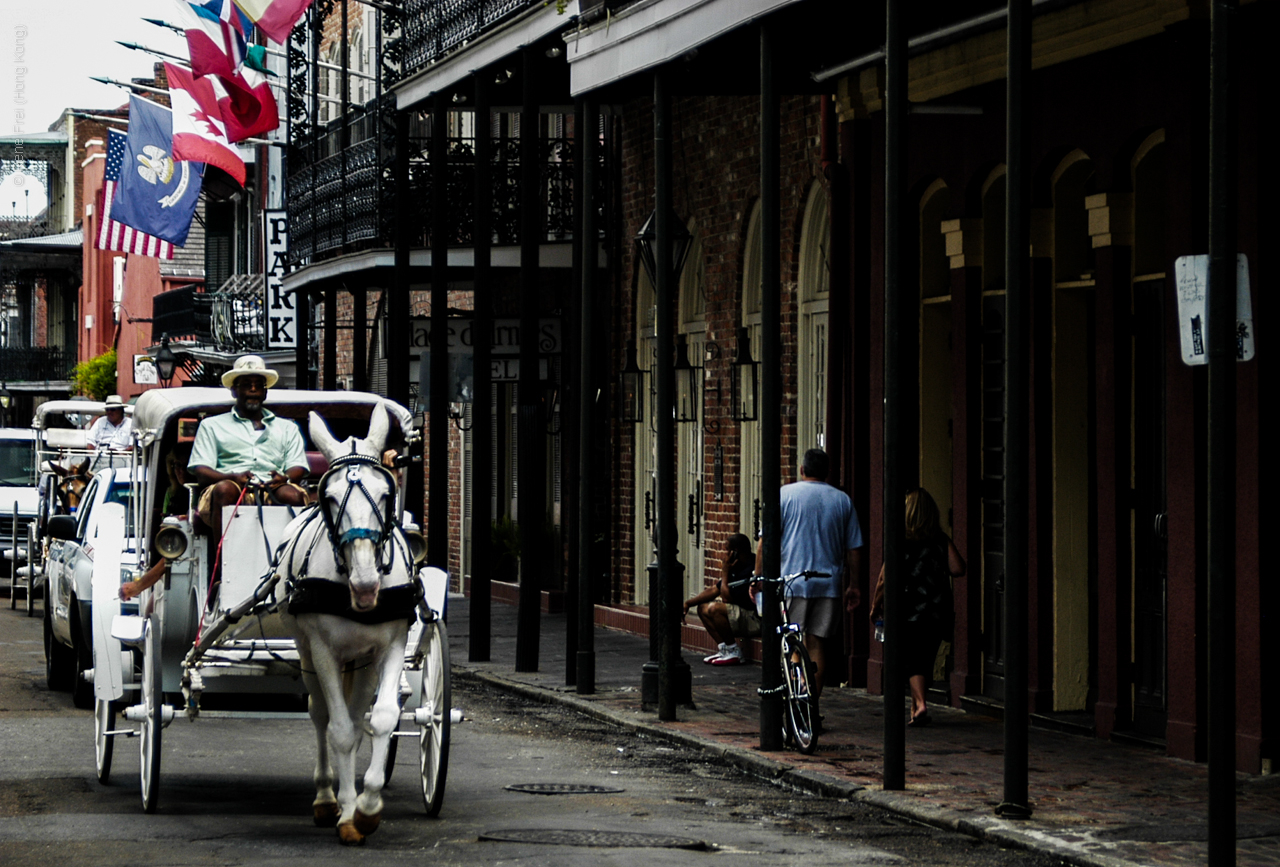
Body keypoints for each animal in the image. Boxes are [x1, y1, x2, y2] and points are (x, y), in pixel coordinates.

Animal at [280, 407, 419, 845]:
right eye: (330, 497)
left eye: (386, 494)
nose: (365, 584)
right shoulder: (324, 650)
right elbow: (338, 729)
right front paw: (346, 814)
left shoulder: (390, 645)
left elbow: (382, 719)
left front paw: (368, 807)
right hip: (306, 649)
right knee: (321, 713)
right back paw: (327, 797)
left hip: (361, 661)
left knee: (359, 718)